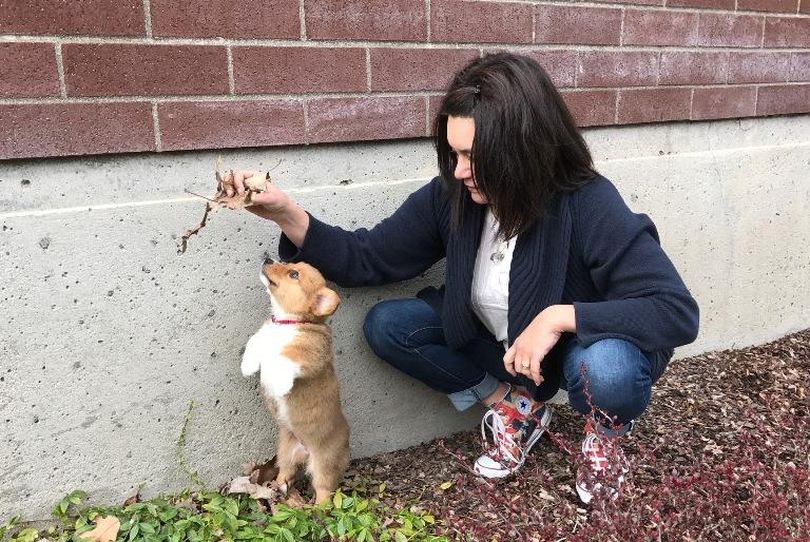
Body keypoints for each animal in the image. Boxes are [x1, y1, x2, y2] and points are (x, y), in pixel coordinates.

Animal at [243, 260, 350, 506]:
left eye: (294, 274)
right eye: (288, 263)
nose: (268, 259)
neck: (286, 322)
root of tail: (306, 451)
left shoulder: (309, 354)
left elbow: (287, 357)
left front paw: (277, 382)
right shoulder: (263, 336)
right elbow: (255, 342)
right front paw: (248, 366)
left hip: (324, 465)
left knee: (324, 490)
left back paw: (318, 510)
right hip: (285, 453)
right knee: (286, 473)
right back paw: (277, 489)